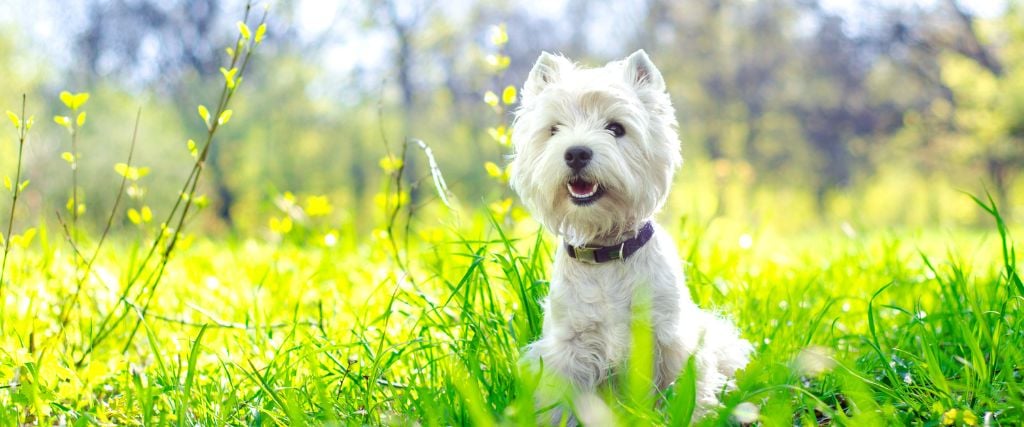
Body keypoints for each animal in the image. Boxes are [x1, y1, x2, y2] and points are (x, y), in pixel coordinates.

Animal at [505, 48, 753, 421]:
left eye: (616, 128)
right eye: (554, 129)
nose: (576, 152)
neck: (606, 253)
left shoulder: (670, 340)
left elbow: (685, 393)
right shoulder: (568, 349)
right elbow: (560, 404)